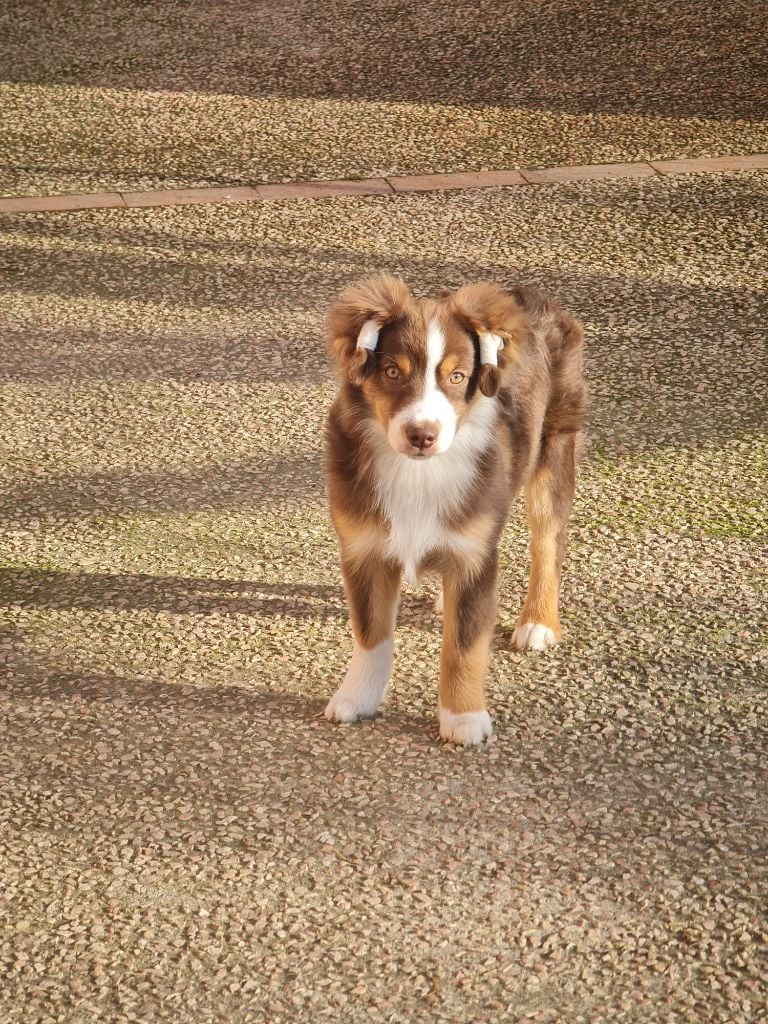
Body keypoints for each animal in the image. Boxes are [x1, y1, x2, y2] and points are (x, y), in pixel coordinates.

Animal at [323, 276, 581, 749]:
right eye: (392, 372)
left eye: (457, 377)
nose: (422, 434)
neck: (418, 472)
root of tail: (525, 295)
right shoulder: (364, 548)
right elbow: (370, 634)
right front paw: (357, 697)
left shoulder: (473, 554)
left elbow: (463, 647)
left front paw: (463, 718)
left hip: (555, 445)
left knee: (547, 544)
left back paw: (538, 622)